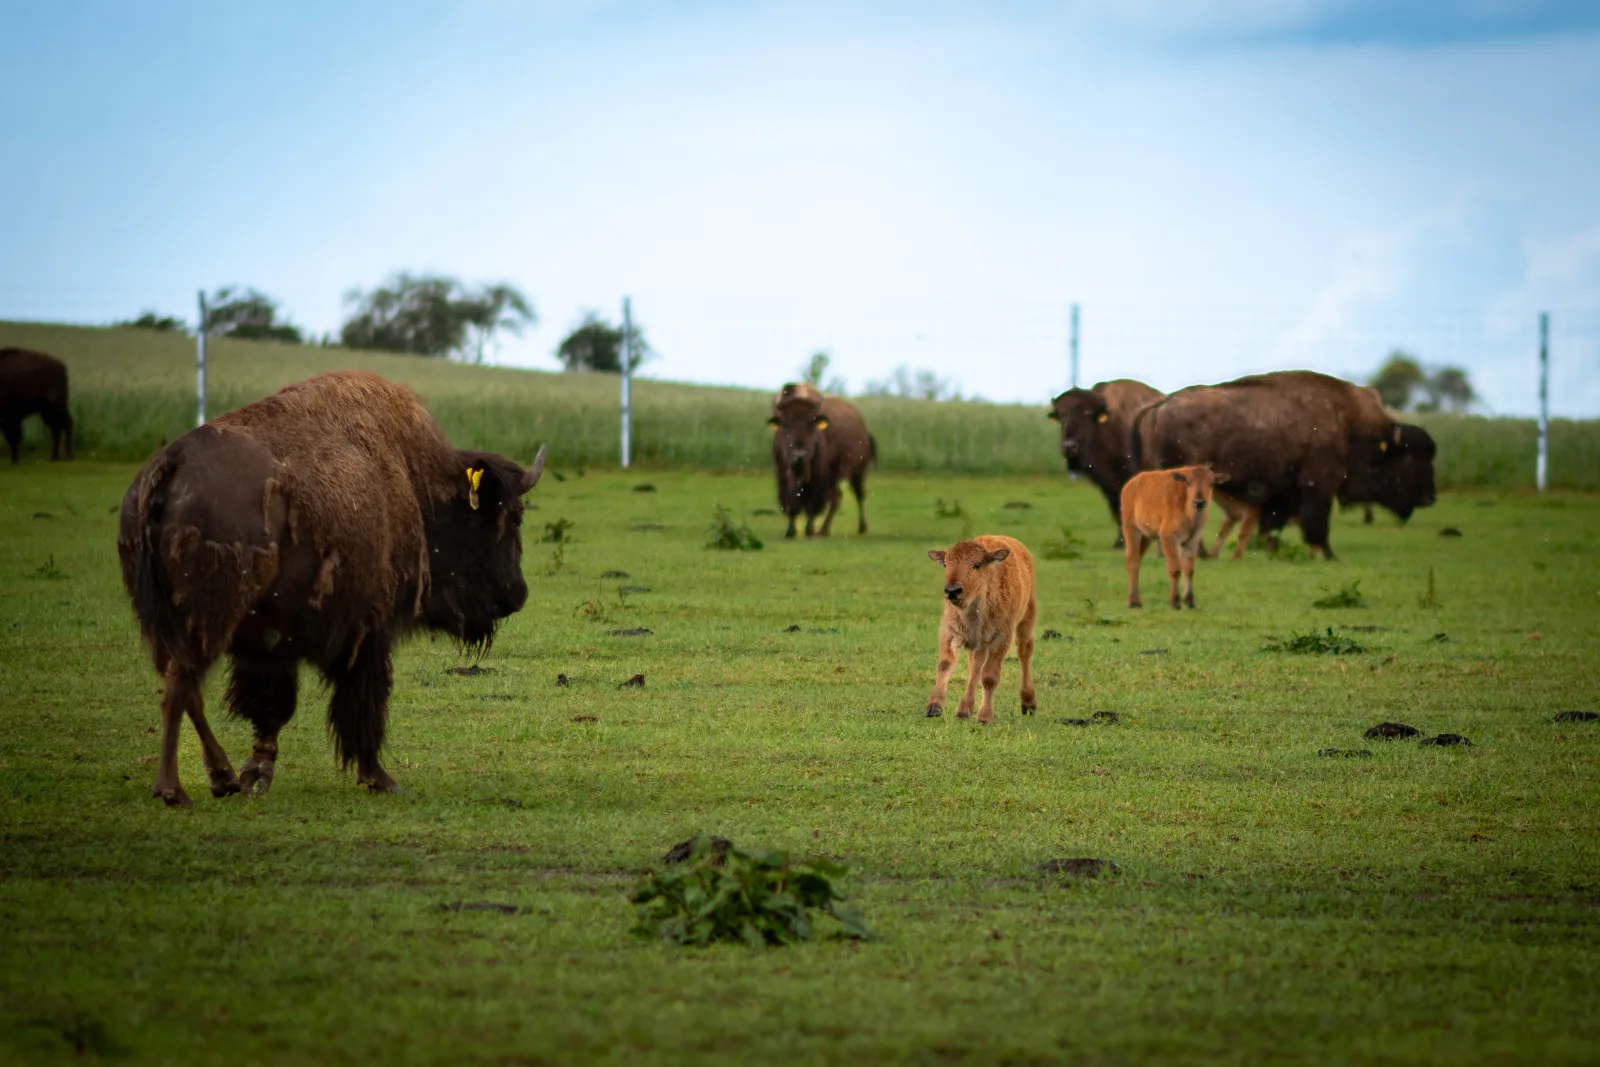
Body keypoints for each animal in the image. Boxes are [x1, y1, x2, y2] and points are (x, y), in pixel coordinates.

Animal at [118, 371, 546, 806]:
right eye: (511, 516)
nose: (518, 593)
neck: (416, 481)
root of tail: (170, 465)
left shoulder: (271, 641)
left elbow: (272, 707)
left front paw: (256, 775)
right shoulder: (370, 630)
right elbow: (362, 703)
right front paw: (380, 778)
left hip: (172, 622)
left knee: (185, 689)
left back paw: (222, 778)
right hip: (206, 618)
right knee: (180, 688)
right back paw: (173, 789)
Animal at [767, 382, 875, 539]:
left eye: (811, 425)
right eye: (785, 426)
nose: (799, 454)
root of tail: (864, 430)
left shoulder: (819, 478)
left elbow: (812, 505)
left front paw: (809, 531)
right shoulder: (783, 474)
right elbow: (790, 504)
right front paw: (790, 533)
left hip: (857, 472)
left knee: (858, 496)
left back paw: (860, 528)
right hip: (837, 478)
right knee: (837, 499)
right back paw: (824, 530)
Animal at [1048, 379, 1162, 545]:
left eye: (1087, 412)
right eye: (1060, 414)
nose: (1069, 446)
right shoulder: (1107, 482)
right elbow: (1115, 506)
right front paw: (1119, 542)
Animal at [1131, 371, 1435, 559]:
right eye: (1409, 459)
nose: (1429, 497)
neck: (1349, 423)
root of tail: (1162, 404)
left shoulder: (1284, 491)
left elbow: (1273, 524)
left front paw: (1273, 551)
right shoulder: (1318, 485)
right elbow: (1316, 523)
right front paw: (1330, 555)